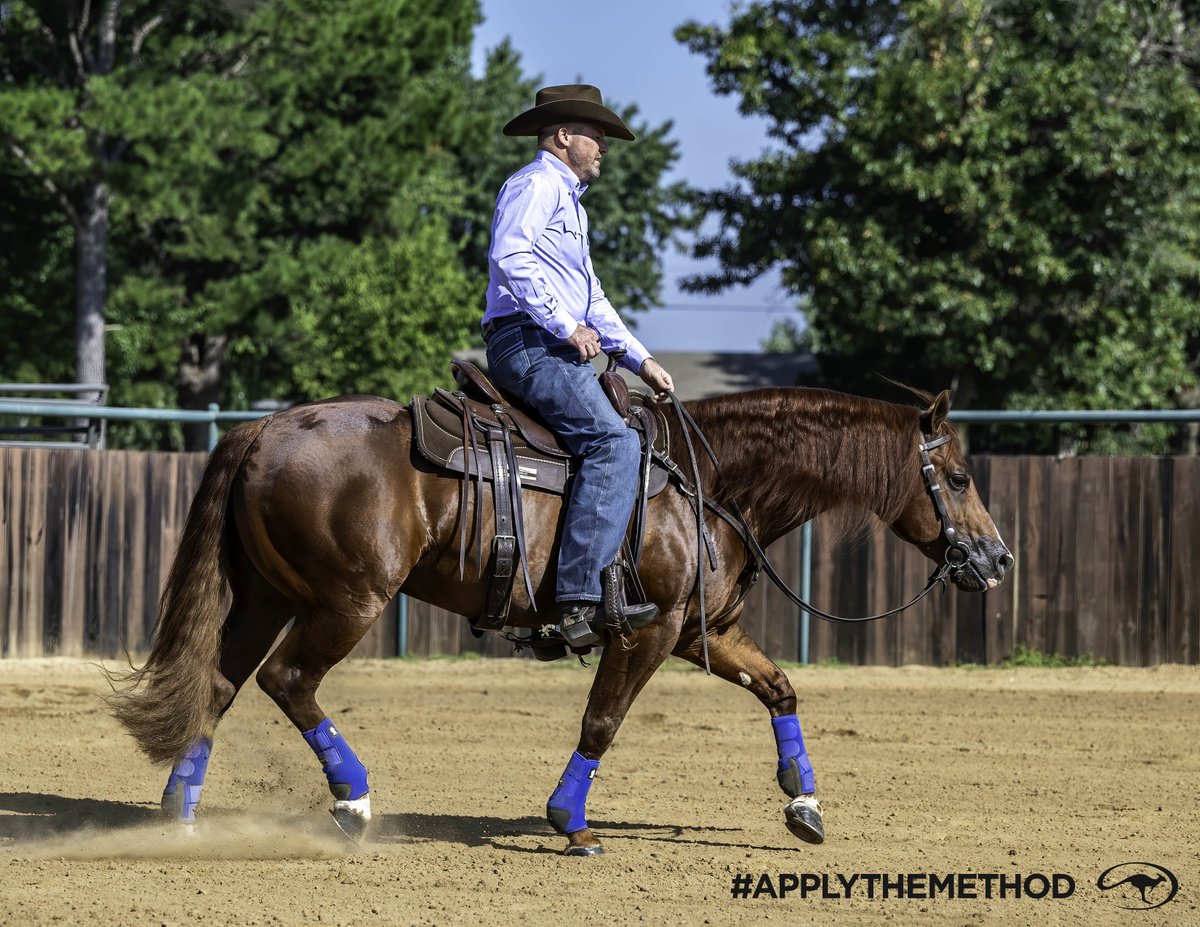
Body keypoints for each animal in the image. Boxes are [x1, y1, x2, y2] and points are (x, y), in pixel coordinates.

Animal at [108, 383, 1013, 855]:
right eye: (959, 477)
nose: (999, 559)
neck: (707, 484)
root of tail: (265, 429)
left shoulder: (705, 632)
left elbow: (781, 687)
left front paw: (804, 804)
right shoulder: (646, 630)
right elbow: (602, 720)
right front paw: (571, 824)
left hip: (265, 596)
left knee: (217, 686)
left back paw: (179, 814)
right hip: (344, 601)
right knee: (288, 680)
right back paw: (355, 801)